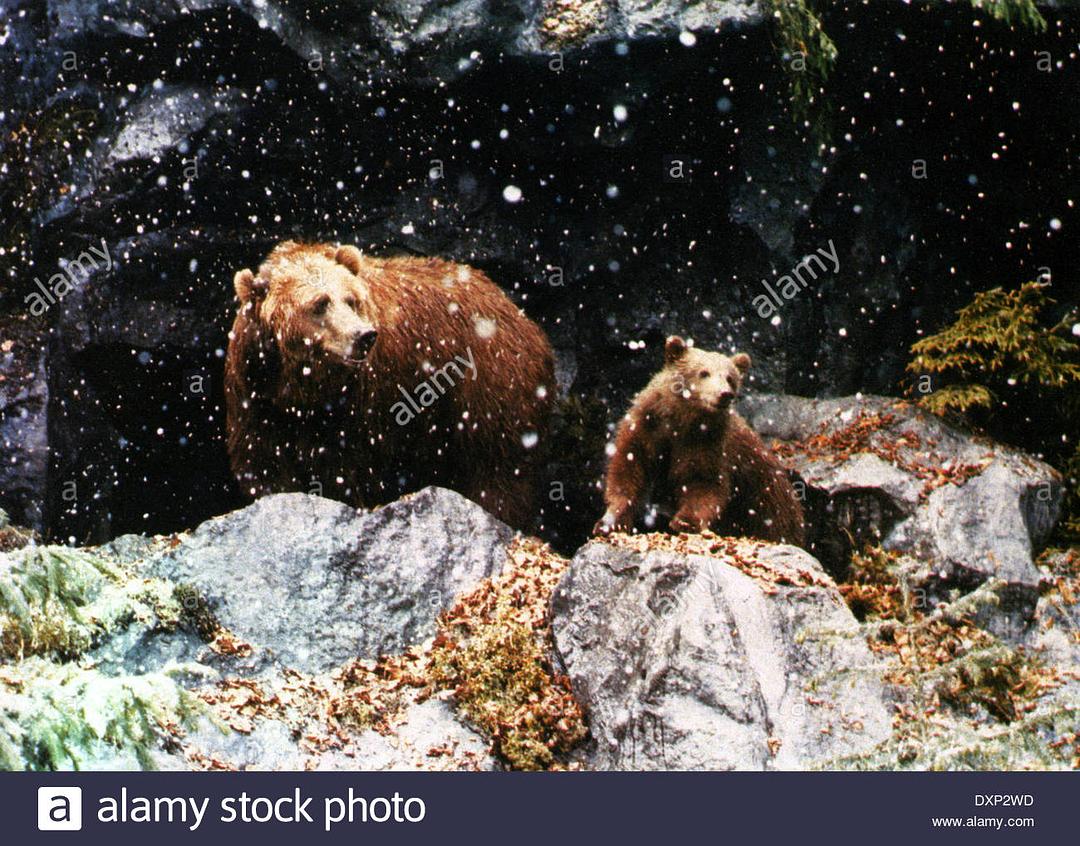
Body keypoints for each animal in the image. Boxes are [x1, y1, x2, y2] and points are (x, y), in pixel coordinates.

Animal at [224, 240, 555, 530]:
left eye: (351, 299)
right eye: (319, 304)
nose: (363, 335)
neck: (302, 388)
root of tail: (521, 316)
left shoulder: (360, 403)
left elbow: (347, 470)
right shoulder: (255, 396)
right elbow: (264, 463)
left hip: (490, 387)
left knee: (499, 467)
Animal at [593, 336, 805, 545]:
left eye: (730, 378)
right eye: (704, 373)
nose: (724, 394)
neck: (681, 420)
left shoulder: (707, 443)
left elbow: (704, 483)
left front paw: (685, 521)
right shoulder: (646, 428)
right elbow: (628, 468)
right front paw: (610, 522)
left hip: (770, 506)